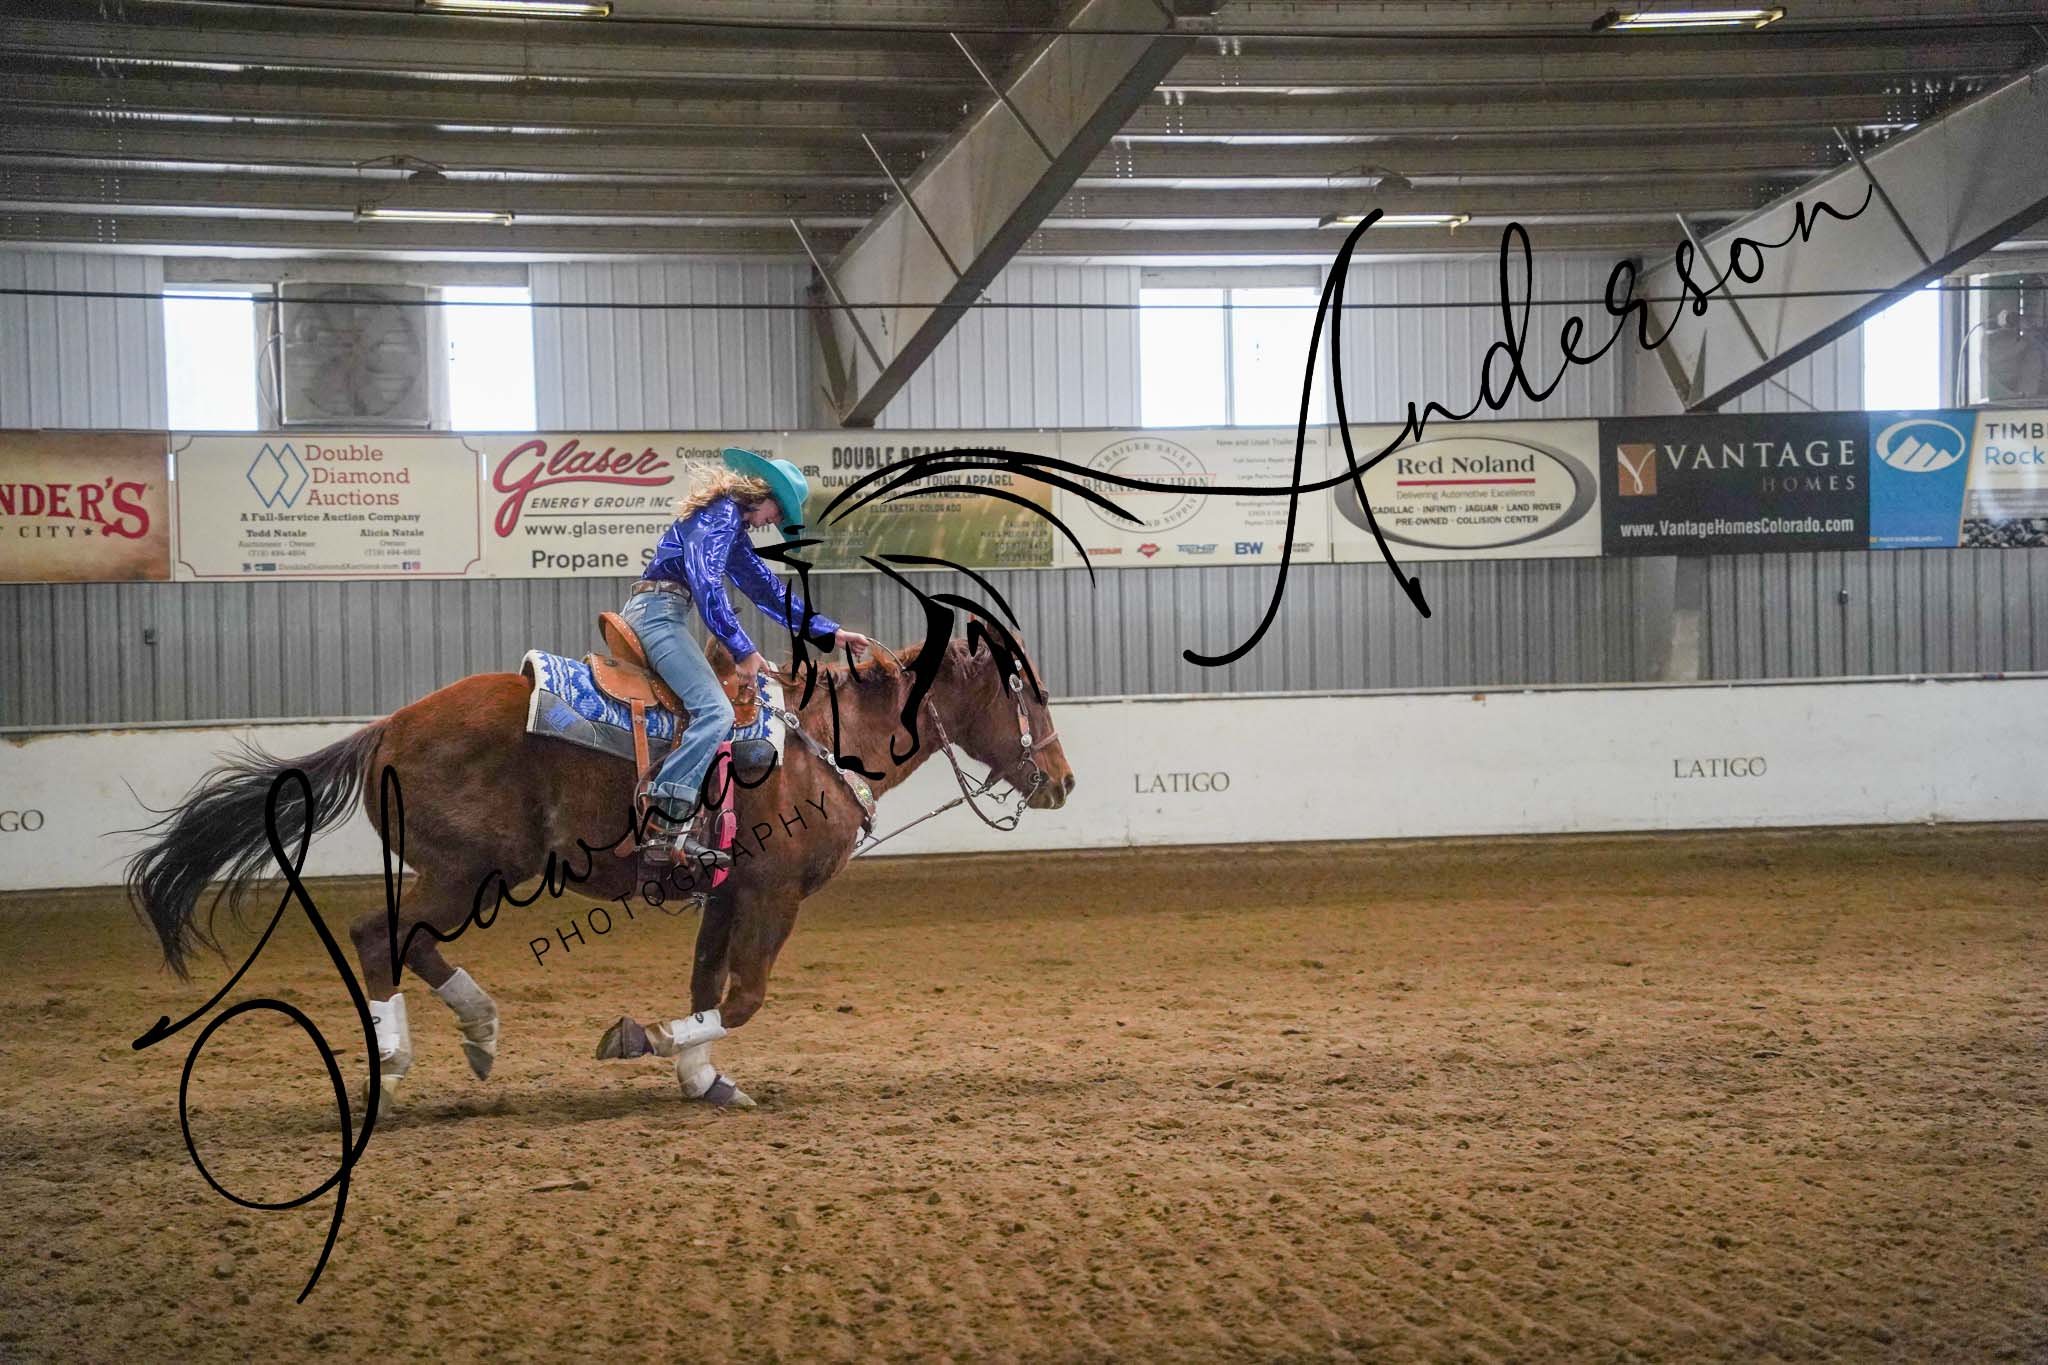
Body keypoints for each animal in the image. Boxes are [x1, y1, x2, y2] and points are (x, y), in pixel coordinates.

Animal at [125, 628, 1075, 1109]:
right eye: (1026, 692)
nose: (1063, 779)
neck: (815, 744)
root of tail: (387, 727)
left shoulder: (724, 888)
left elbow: (707, 984)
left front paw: (702, 1077)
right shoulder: (772, 893)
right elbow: (745, 996)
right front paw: (642, 1040)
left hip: (473, 876)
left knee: (407, 942)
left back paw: (481, 1032)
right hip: (465, 873)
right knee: (376, 935)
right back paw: (394, 1060)